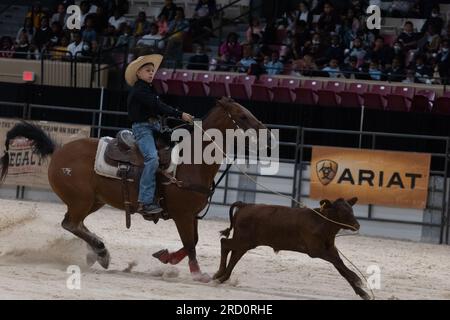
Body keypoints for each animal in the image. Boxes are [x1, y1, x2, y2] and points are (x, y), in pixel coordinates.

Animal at [0, 97, 268, 282]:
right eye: (242, 116)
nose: (264, 131)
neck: (190, 164)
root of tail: (58, 150)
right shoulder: (182, 215)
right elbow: (191, 244)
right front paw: (198, 274)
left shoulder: (191, 215)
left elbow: (192, 241)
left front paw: (166, 256)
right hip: (81, 200)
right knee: (71, 224)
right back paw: (100, 251)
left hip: (93, 201)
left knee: (76, 224)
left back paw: (97, 253)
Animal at [214, 198, 372, 300]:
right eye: (342, 211)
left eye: (351, 209)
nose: (357, 225)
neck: (322, 223)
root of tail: (246, 205)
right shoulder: (316, 250)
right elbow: (339, 263)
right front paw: (357, 278)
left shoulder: (331, 250)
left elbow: (341, 267)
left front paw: (363, 293)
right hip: (243, 240)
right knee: (224, 243)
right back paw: (219, 274)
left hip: (245, 242)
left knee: (233, 254)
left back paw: (222, 277)